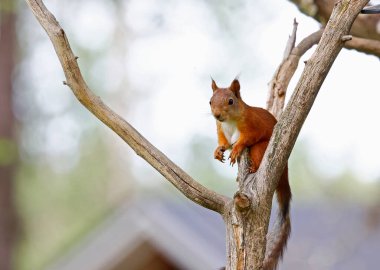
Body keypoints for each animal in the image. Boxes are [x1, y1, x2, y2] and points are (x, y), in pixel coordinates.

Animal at [209, 77, 292, 270]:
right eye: (209, 101)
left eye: (230, 101)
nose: (217, 115)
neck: (229, 122)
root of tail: (284, 169)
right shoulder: (221, 130)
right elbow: (224, 143)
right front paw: (218, 151)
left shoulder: (252, 126)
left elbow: (246, 139)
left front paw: (236, 149)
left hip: (260, 149)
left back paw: (253, 168)